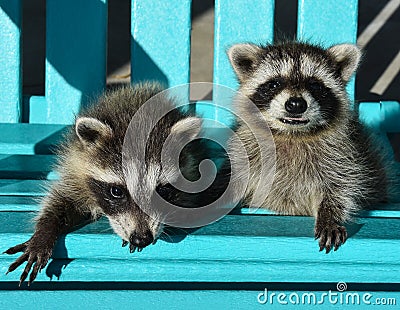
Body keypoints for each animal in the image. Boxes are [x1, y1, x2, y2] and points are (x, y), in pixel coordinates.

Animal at [5, 83, 206, 286]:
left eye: (163, 190)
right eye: (117, 191)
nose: (141, 239)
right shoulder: (76, 170)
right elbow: (60, 200)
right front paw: (44, 233)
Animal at [228, 41, 388, 253]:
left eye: (315, 85)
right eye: (274, 84)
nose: (296, 104)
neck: (292, 134)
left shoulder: (344, 157)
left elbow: (341, 188)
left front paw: (330, 215)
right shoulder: (246, 152)